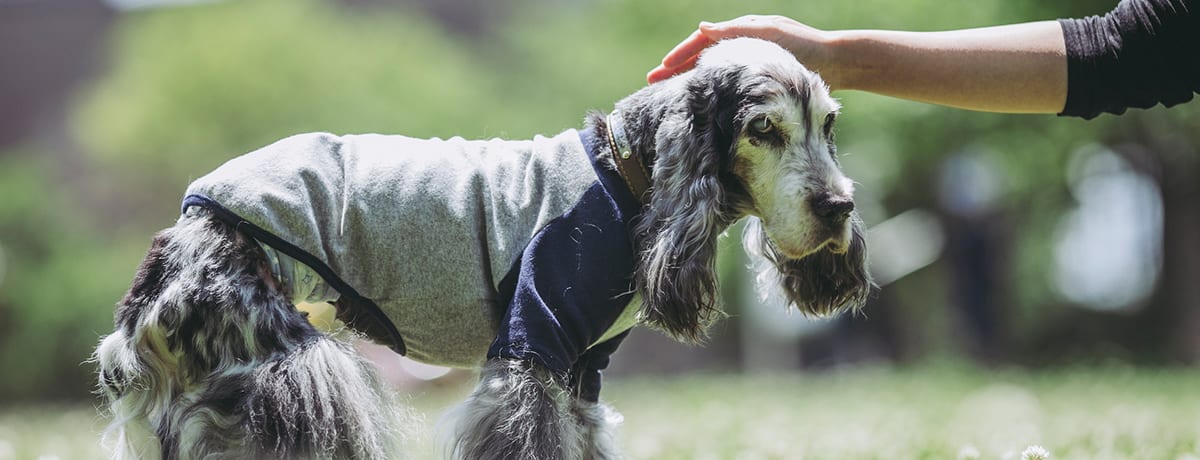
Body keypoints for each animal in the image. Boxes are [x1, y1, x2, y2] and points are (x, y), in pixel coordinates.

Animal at [93, 37, 873, 458]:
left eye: (828, 124)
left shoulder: (581, 375)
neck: (626, 177)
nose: (839, 206)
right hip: (302, 380)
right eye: (764, 129)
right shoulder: (530, 353)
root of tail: (179, 239)